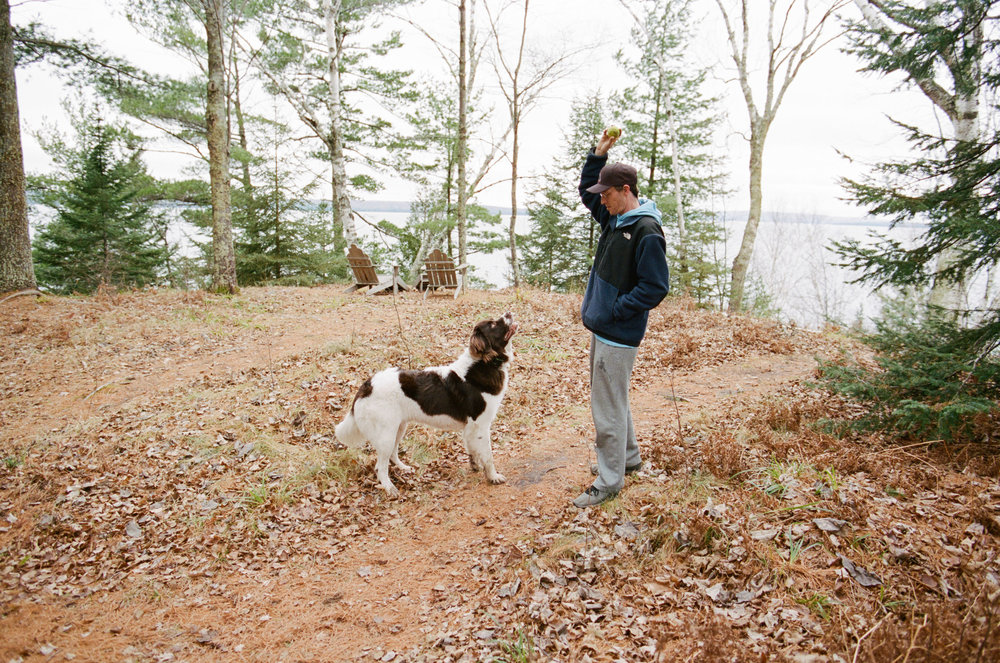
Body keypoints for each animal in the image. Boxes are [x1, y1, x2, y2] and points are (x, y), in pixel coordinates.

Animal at [338, 314, 520, 496]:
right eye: (493, 324)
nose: (509, 313)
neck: (483, 363)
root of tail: (367, 385)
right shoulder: (481, 426)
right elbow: (488, 456)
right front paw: (493, 477)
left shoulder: (470, 428)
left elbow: (472, 450)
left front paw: (475, 466)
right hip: (386, 435)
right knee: (380, 467)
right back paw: (390, 489)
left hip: (398, 428)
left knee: (392, 455)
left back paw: (404, 468)